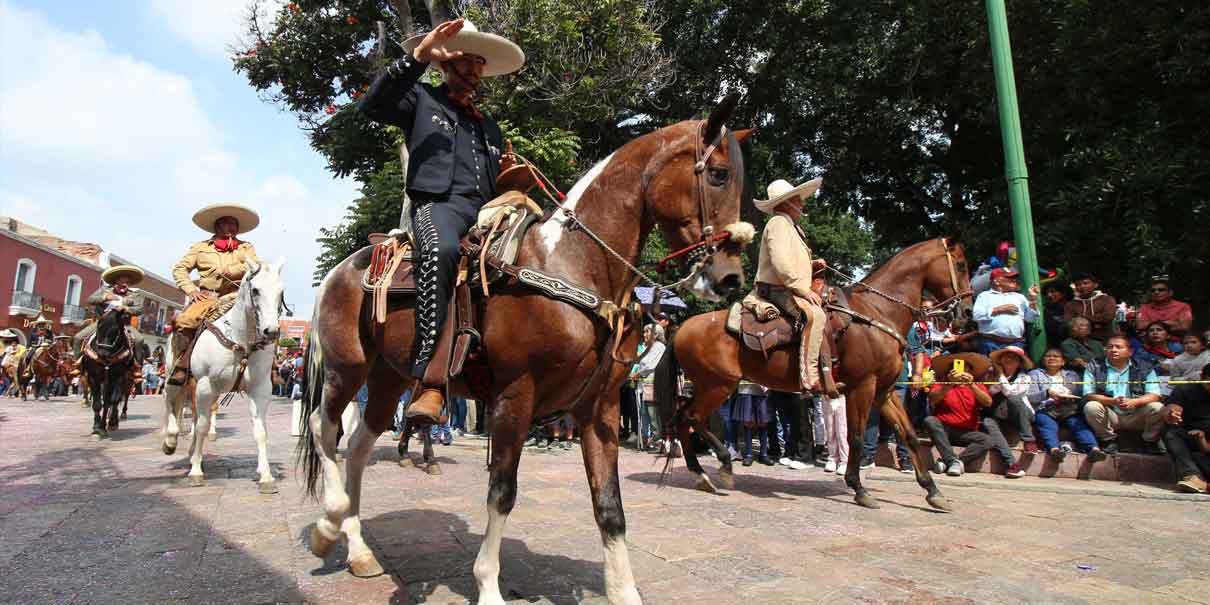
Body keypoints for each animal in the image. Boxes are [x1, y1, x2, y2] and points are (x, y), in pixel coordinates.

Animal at [79, 312, 135, 440]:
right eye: (98, 328)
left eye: (116, 331)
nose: (102, 354)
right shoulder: (93, 377)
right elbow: (97, 404)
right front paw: (96, 428)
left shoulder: (114, 378)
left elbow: (109, 401)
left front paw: (103, 427)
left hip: (126, 378)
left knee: (121, 397)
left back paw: (116, 419)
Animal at [159, 258, 286, 491]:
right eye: (255, 290)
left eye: (280, 292)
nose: (271, 331)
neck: (241, 340)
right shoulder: (205, 385)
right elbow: (201, 426)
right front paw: (196, 472)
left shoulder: (260, 390)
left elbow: (260, 431)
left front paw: (266, 476)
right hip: (177, 375)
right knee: (170, 400)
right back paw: (170, 441)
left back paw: (191, 453)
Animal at [295, 96, 745, 602]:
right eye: (719, 174)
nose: (730, 277)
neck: (571, 264)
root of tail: (339, 271)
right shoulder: (515, 395)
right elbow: (502, 492)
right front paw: (489, 585)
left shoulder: (600, 408)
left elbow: (609, 505)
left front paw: (623, 590)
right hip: (347, 368)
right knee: (323, 429)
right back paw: (328, 525)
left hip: (389, 378)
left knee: (357, 446)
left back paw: (358, 551)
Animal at [658, 235, 968, 510]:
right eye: (962, 264)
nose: (965, 311)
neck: (878, 313)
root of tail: (682, 328)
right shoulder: (862, 387)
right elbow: (855, 437)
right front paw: (859, 488)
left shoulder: (885, 391)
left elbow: (909, 436)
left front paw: (933, 491)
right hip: (718, 386)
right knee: (691, 417)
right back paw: (720, 463)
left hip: (707, 386)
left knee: (682, 417)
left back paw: (700, 473)